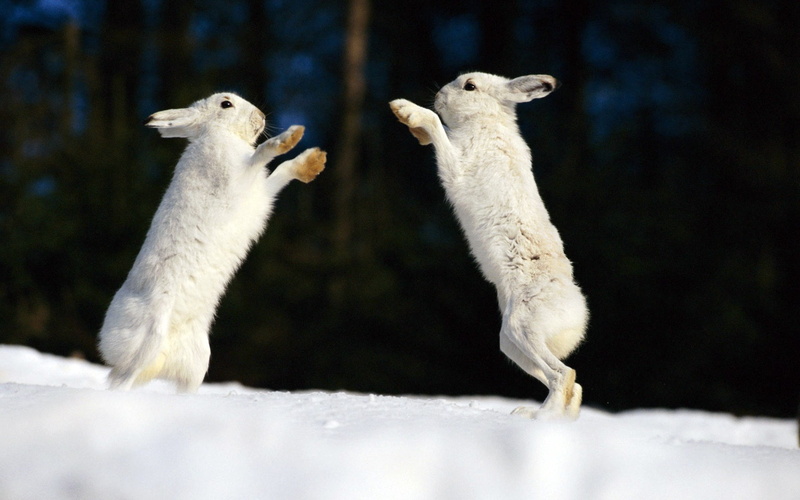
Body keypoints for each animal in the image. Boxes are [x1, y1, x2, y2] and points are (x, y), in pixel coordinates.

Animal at [98, 92, 326, 393]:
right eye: (226, 104)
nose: (260, 116)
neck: (217, 133)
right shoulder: (236, 178)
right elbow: (262, 154)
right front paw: (290, 137)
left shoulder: (261, 193)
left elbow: (281, 171)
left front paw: (314, 162)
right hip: (147, 340)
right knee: (121, 380)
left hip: (198, 360)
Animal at [390, 72, 588, 420]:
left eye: (469, 86)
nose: (439, 96)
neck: (487, 120)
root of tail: (578, 314)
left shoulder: (457, 166)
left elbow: (437, 129)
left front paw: (407, 110)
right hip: (512, 344)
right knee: (570, 383)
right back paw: (540, 416)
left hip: (524, 328)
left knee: (564, 376)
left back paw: (539, 417)